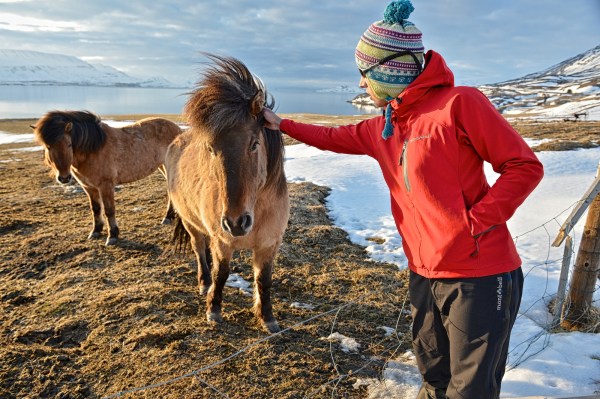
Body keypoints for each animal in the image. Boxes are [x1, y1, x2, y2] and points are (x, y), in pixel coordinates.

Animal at [32, 111, 182, 245]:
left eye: (69, 144)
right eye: (48, 147)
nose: (64, 178)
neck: (92, 150)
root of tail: (178, 129)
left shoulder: (106, 185)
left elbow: (109, 210)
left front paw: (113, 236)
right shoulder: (89, 187)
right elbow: (96, 209)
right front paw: (96, 231)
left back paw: (168, 217)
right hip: (162, 166)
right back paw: (169, 216)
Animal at [166, 54, 290, 332]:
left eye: (254, 144)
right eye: (211, 149)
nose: (236, 223)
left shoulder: (269, 244)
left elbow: (264, 280)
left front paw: (268, 318)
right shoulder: (222, 241)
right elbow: (221, 274)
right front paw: (213, 310)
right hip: (191, 222)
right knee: (199, 248)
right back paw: (204, 283)